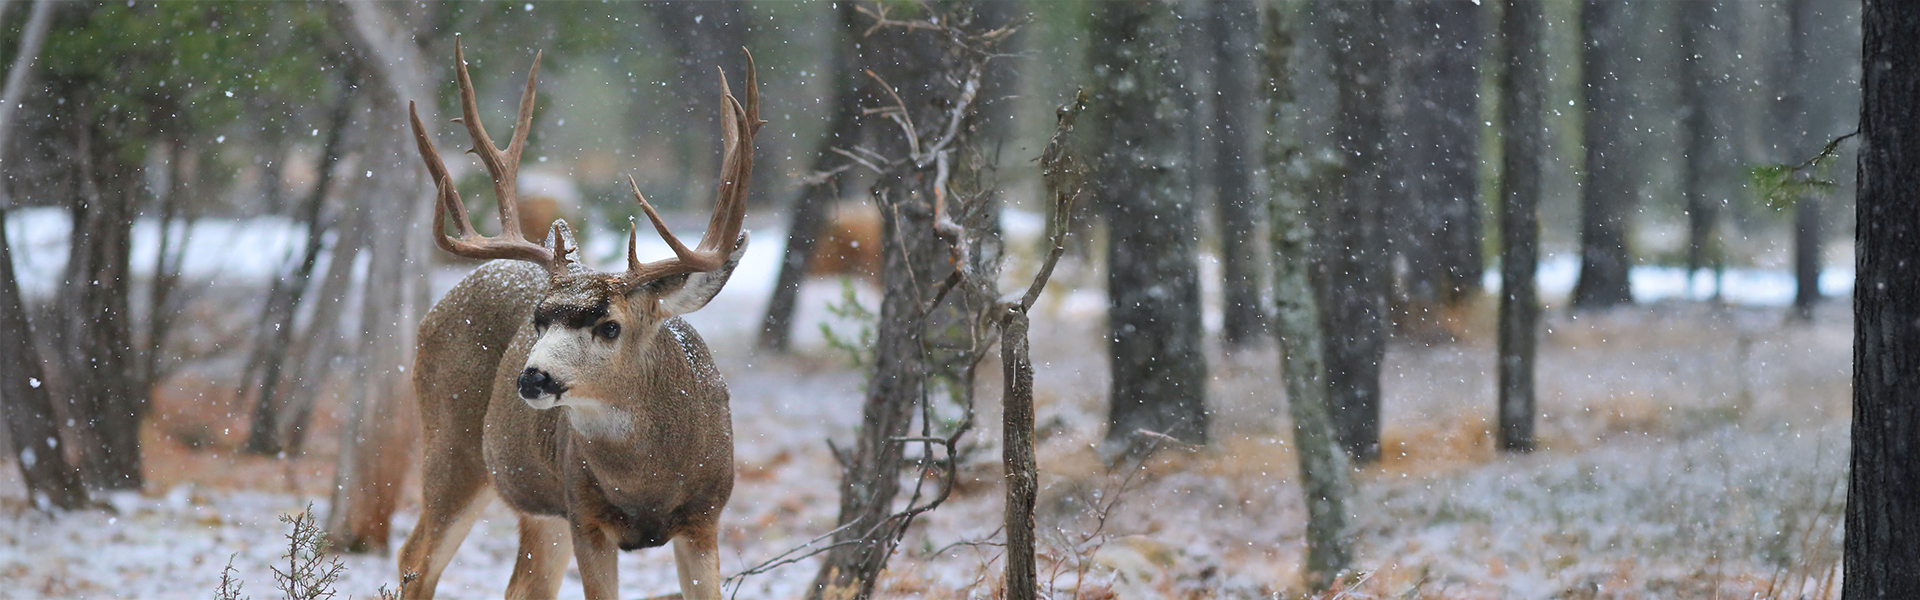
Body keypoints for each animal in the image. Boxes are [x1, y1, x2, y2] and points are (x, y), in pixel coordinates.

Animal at [395, 37, 759, 600]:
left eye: (609, 325)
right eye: (539, 320)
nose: (532, 377)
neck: (647, 483)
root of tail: (440, 305)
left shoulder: (706, 518)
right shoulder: (585, 515)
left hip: (540, 506)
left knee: (521, 584)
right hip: (454, 446)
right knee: (415, 558)